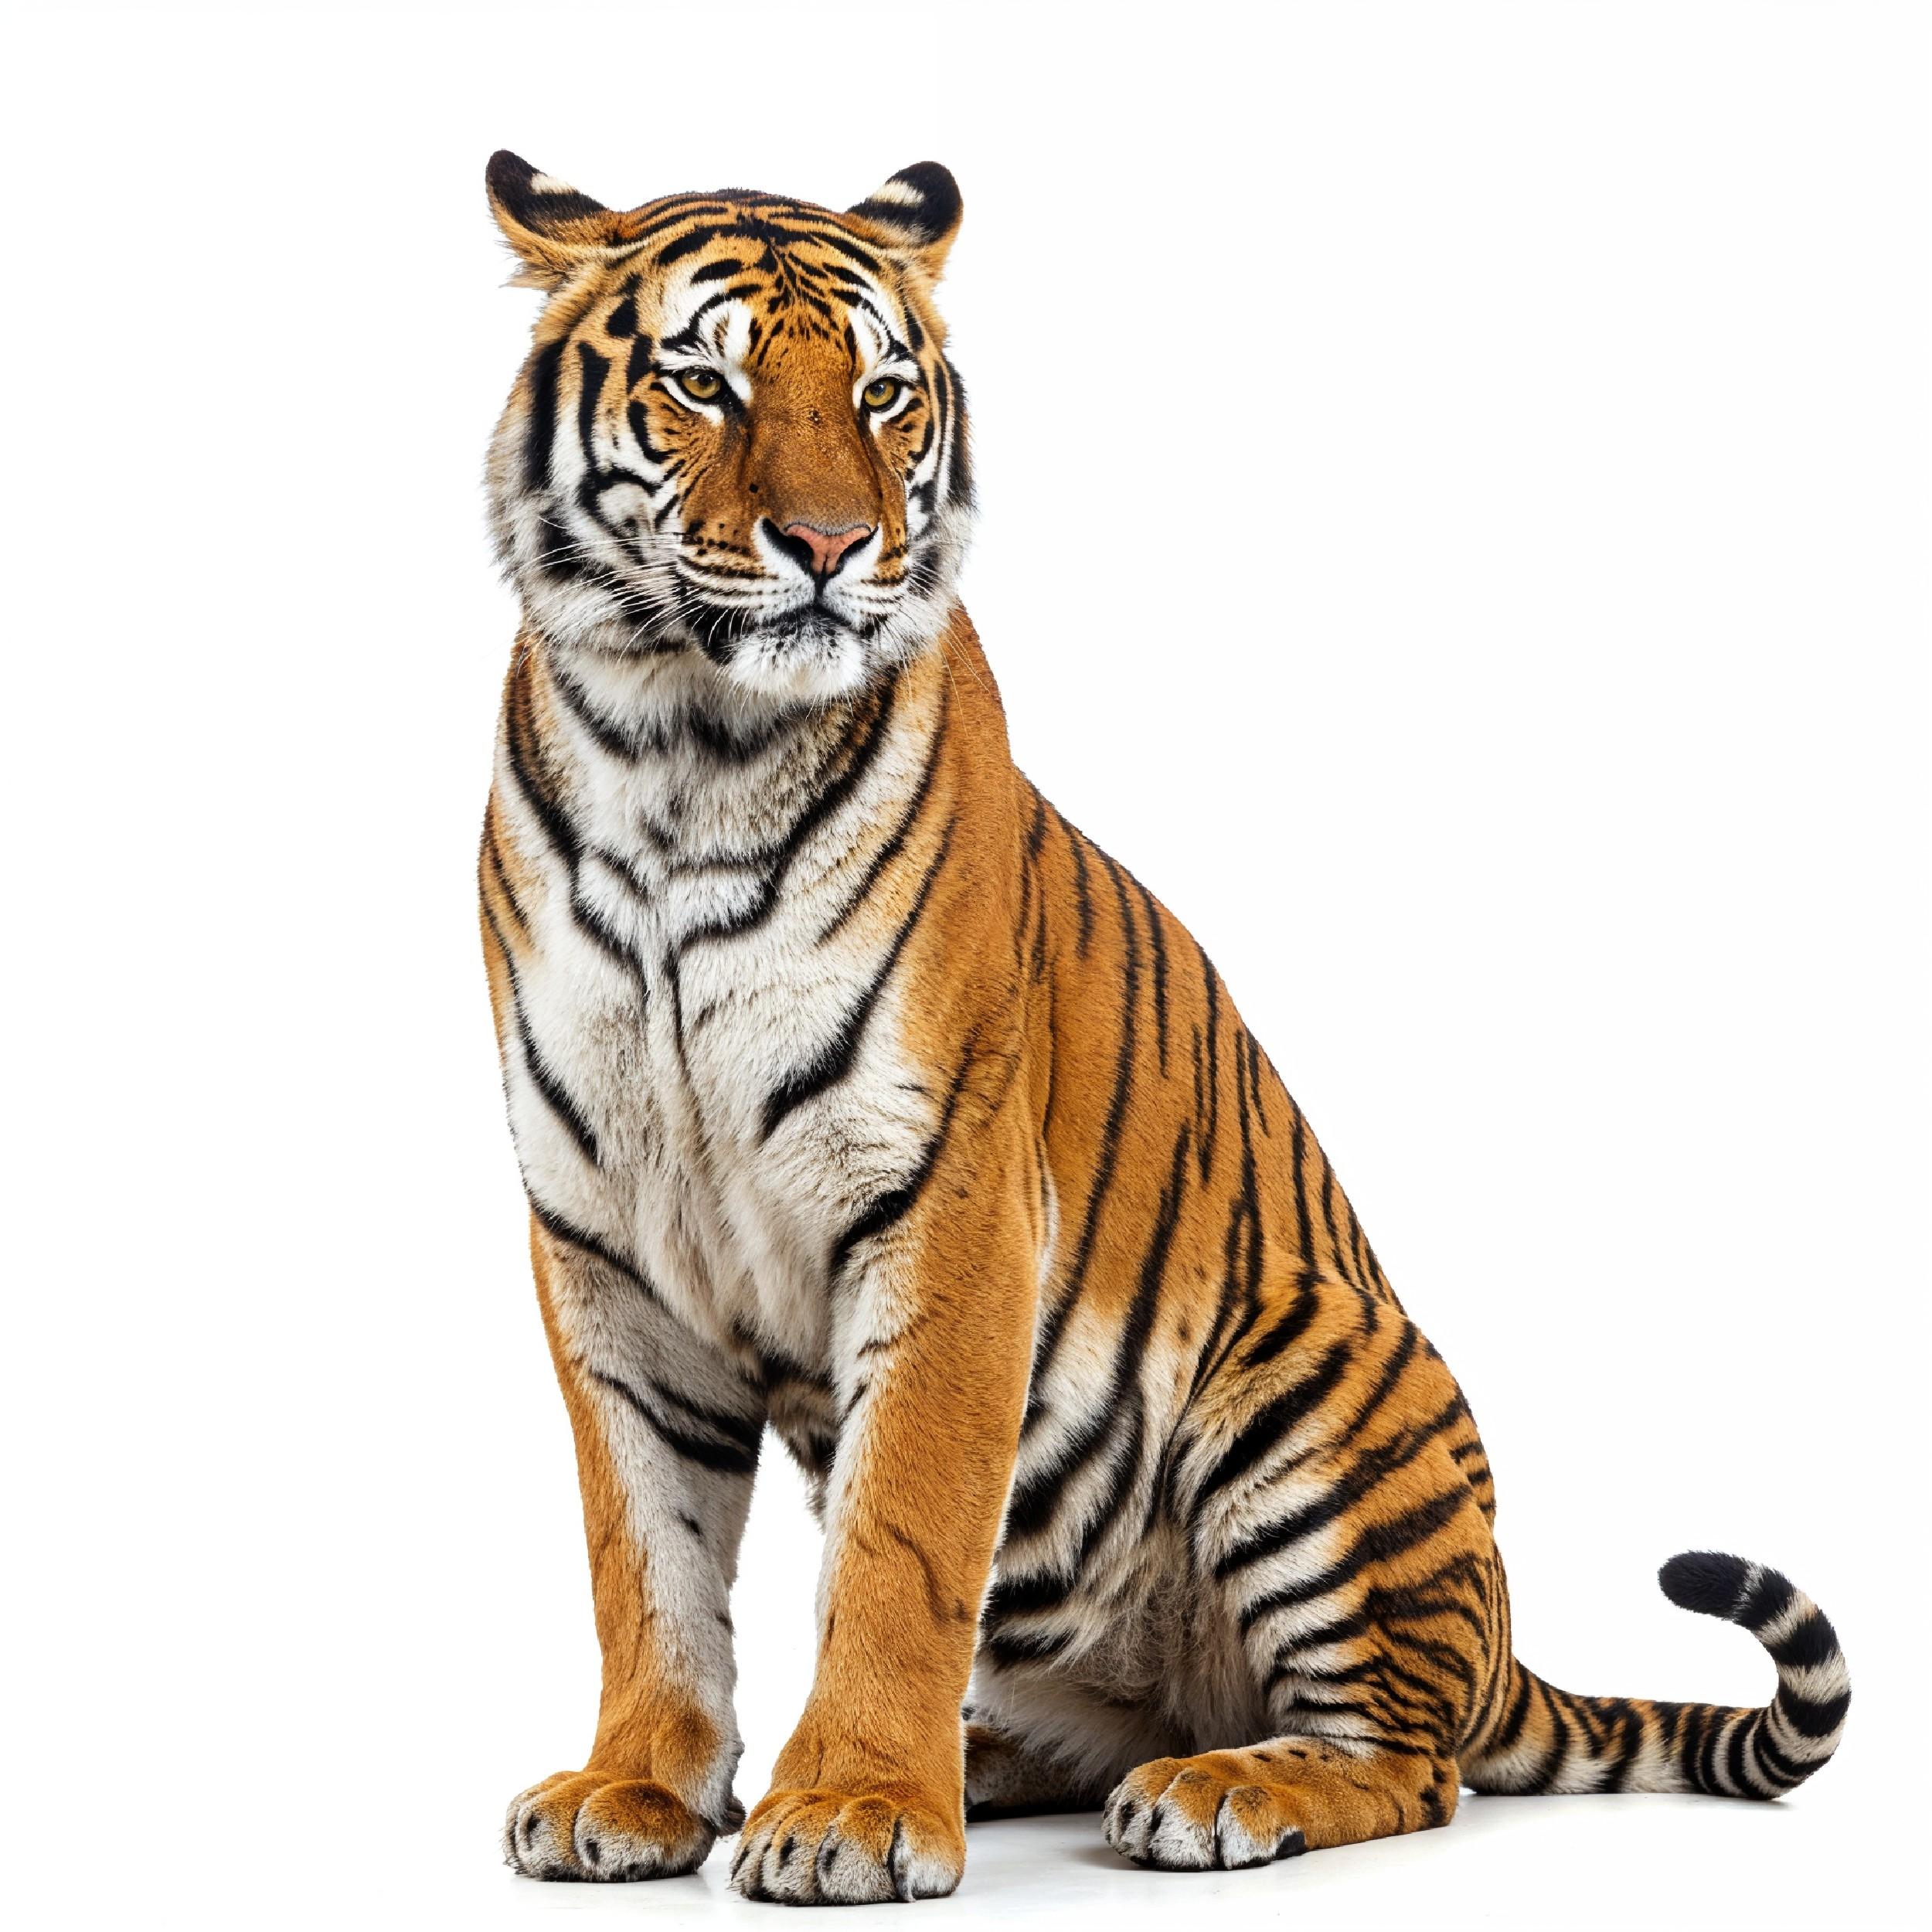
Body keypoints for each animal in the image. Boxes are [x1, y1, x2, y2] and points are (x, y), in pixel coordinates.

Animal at [475, 149, 1849, 1905]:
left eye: (879, 394)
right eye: (700, 385)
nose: (832, 544)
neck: (680, 757)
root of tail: (1499, 1646)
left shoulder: (947, 1200)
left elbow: (898, 1541)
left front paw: (851, 1806)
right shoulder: (605, 1243)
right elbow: (639, 1548)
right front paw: (639, 1787)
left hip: (1310, 1384)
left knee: (1407, 1761)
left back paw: (1211, 1791)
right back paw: (1002, 1762)